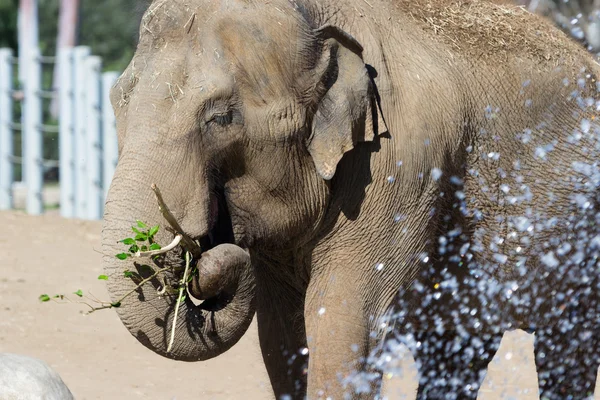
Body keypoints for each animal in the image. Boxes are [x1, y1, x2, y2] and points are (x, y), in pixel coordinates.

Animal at [104, 0, 600, 398]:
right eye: (114, 102)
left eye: (221, 118)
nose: (207, 253)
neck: (318, 15)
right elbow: (283, 335)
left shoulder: (402, 166)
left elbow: (343, 319)